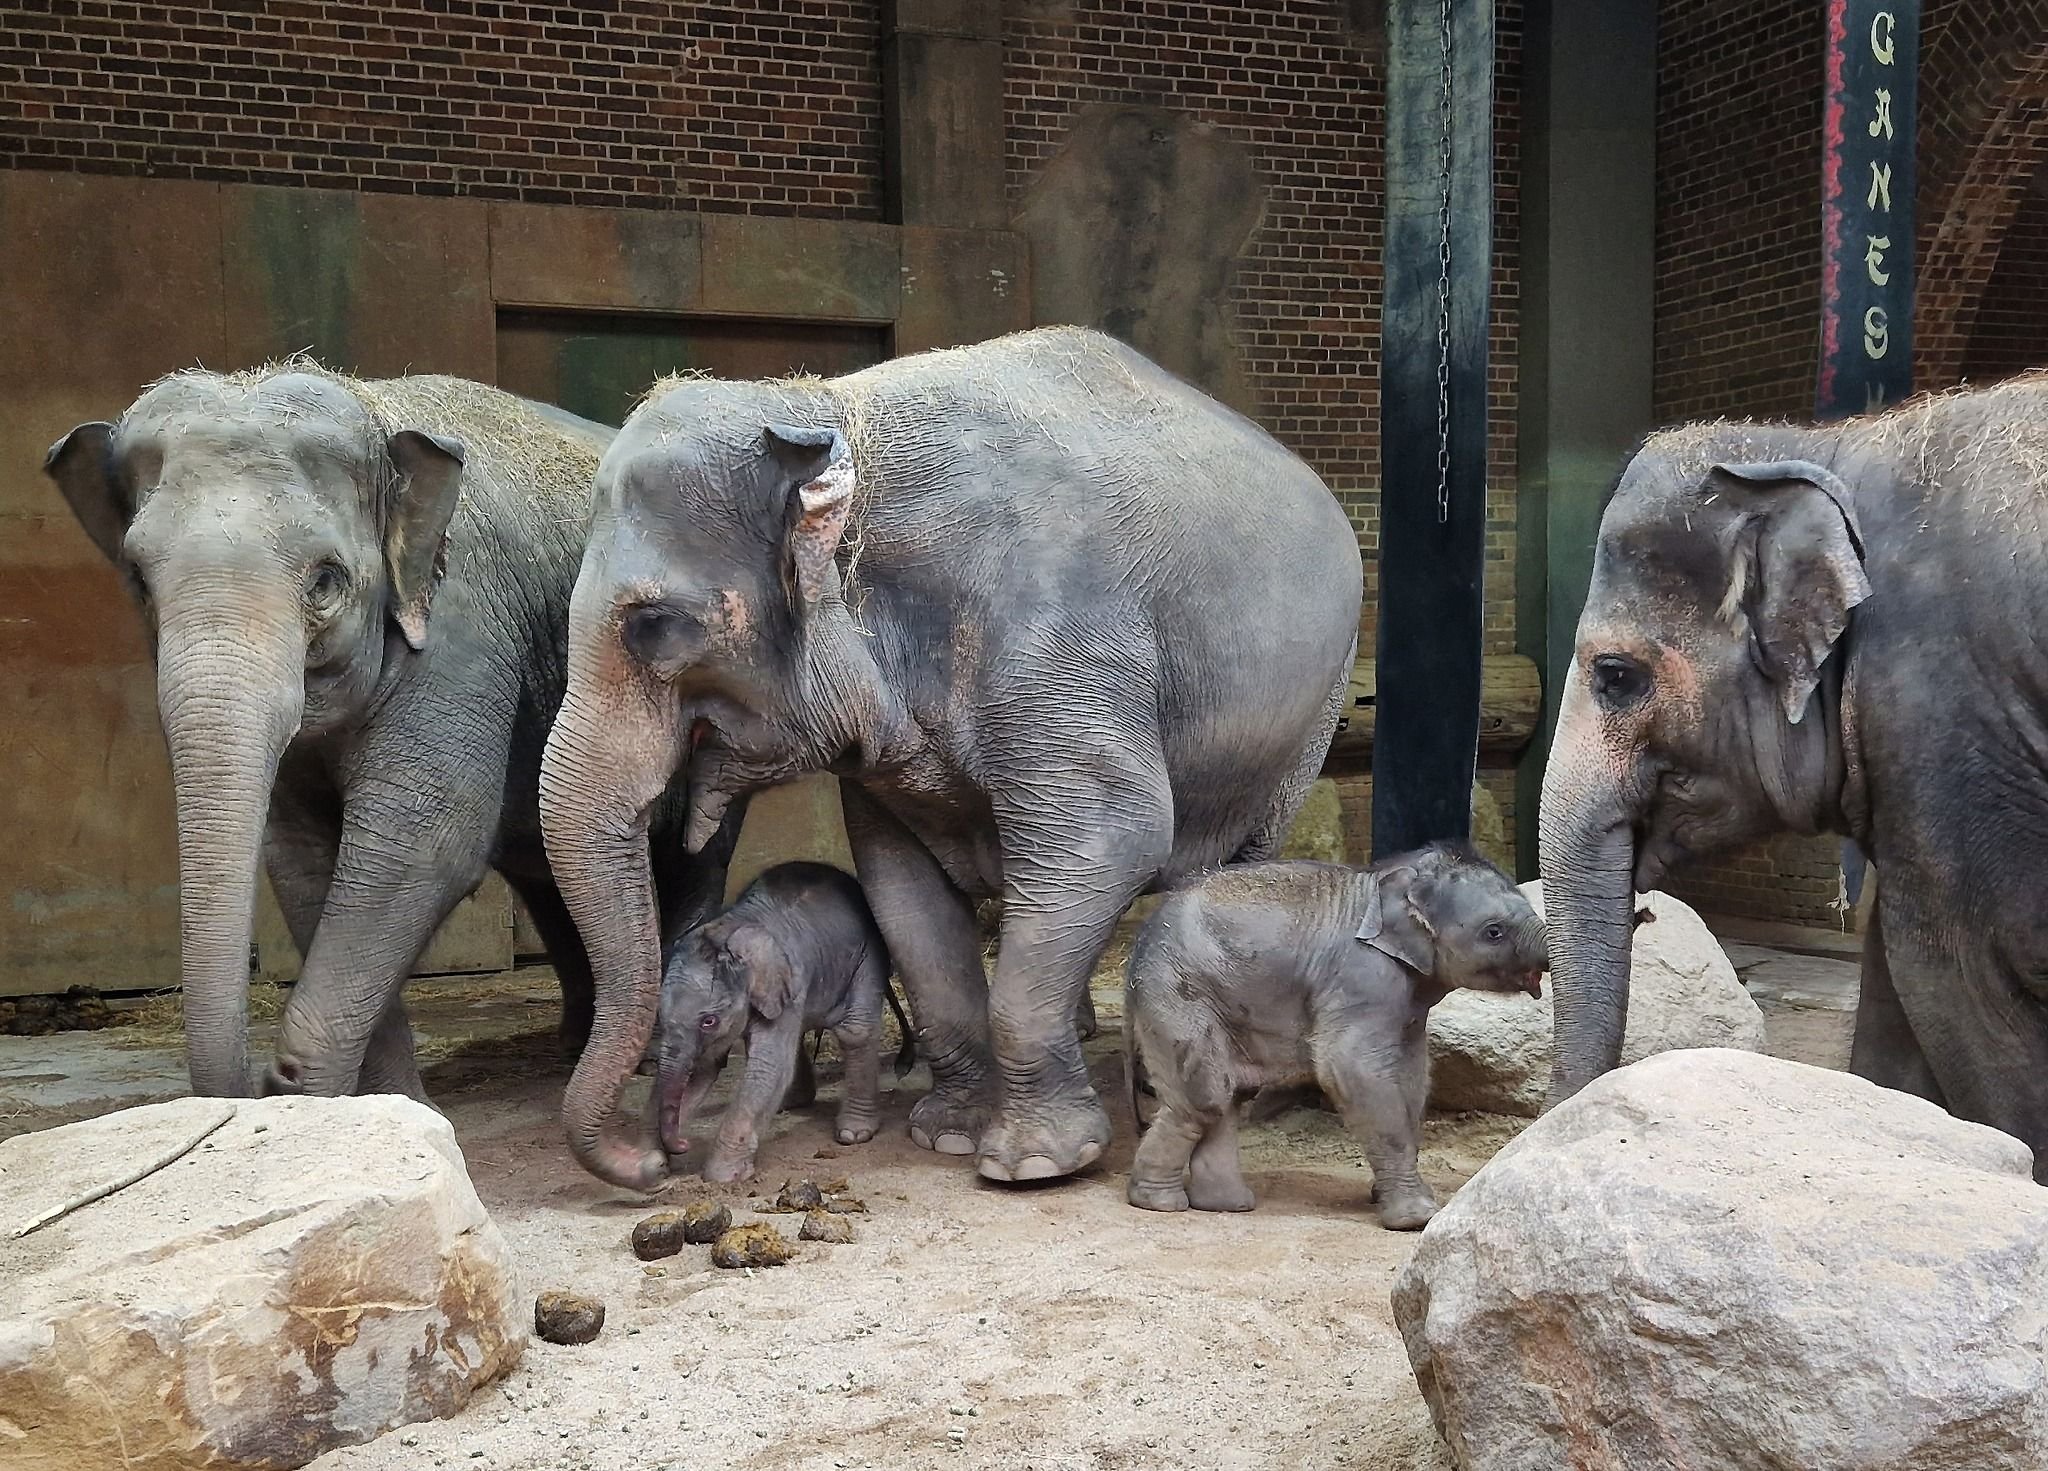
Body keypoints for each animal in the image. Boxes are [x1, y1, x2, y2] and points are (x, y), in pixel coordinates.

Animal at [41, 368, 737, 1106]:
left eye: (324, 581)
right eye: (139, 581)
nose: (258, 1083)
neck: (376, 413)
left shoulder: (459, 634)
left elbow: (419, 843)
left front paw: (322, 1096)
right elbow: (304, 857)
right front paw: (388, 1104)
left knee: (694, 853)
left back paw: (651, 1054)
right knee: (547, 866)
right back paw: (575, 1044)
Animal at [647, 864, 905, 1188]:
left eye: (709, 1021)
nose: (683, 1144)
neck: (734, 926)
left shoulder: (788, 981)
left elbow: (768, 1065)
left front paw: (724, 1176)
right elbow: (713, 1065)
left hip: (867, 953)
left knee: (856, 1030)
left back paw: (853, 1133)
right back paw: (793, 1103)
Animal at [1130, 839, 1540, 1229]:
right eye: (1494, 932)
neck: (1389, 878)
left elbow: (1411, 1075)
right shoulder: (1362, 974)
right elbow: (1353, 1068)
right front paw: (1416, 1219)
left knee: (1229, 1096)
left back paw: (1226, 1205)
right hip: (1177, 994)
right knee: (1205, 1100)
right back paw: (1159, 1202)